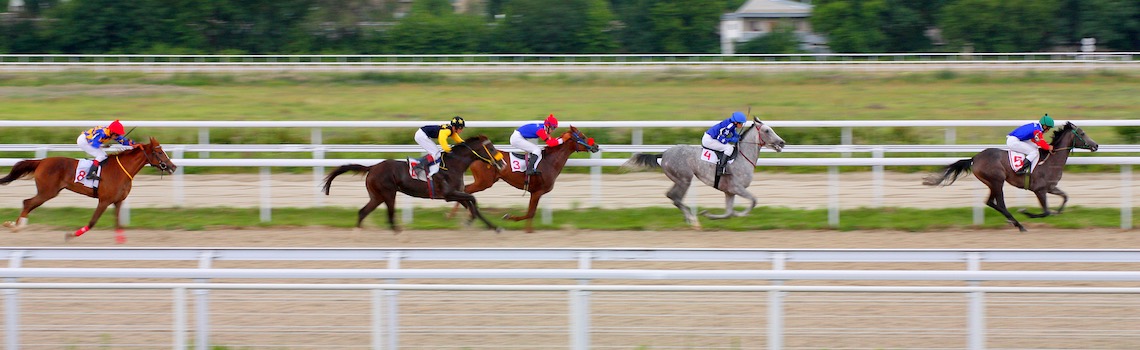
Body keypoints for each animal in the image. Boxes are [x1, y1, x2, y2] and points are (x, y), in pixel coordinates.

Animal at [0, 137, 177, 243]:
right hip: (47, 192)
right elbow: (92, 222)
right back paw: (16, 226)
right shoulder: (104, 201)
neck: (121, 170)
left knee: (28, 203)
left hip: (47, 192)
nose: (173, 167)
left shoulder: (118, 201)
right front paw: (71, 235)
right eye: (159, 152)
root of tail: (41, 161)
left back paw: (15, 225)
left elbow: (118, 222)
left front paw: (121, 241)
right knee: (27, 202)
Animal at [316, 135, 503, 234]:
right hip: (388, 193)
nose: (502, 164)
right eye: (491, 149)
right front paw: (469, 221)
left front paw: (494, 227)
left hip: (377, 196)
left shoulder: (456, 194)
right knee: (389, 215)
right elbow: (473, 199)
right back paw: (398, 232)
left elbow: (473, 205)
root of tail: (373, 167)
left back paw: (359, 231)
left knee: (363, 212)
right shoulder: (449, 195)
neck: (453, 165)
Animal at [449, 125, 601, 233]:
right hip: (484, 182)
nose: (596, 146)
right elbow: (530, 213)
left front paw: (529, 229)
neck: (549, 161)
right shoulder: (537, 192)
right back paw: (456, 214)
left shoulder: (535, 192)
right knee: (466, 189)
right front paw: (510, 218)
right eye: (582, 136)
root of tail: (475, 156)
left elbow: (530, 213)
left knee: (465, 190)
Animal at [624, 116, 784, 229]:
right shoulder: (737, 188)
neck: (741, 158)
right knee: (675, 197)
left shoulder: (729, 191)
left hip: (678, 179)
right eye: (767, 130)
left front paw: (709, 215)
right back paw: (693, 220)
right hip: (685, 179)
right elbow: (753, 201)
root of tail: (664, 154)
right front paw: (741, 214)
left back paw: (690, 218)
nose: (782, 142)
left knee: (671, 195)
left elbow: (728, 213)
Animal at [921, 121, 1098, 231]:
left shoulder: (1051, 187)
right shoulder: (1040, 190)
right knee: (1000, 203)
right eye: (1082, 133)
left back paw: (1013, 222)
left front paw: (1058, 212)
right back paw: (1019, 224)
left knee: (990, 202)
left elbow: (1065, 197)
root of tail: (974, 158)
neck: (1051, 160)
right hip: (997, 181)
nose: (1096, 145)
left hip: (992, 183)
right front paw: (1027, 212)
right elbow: (1046, 211)